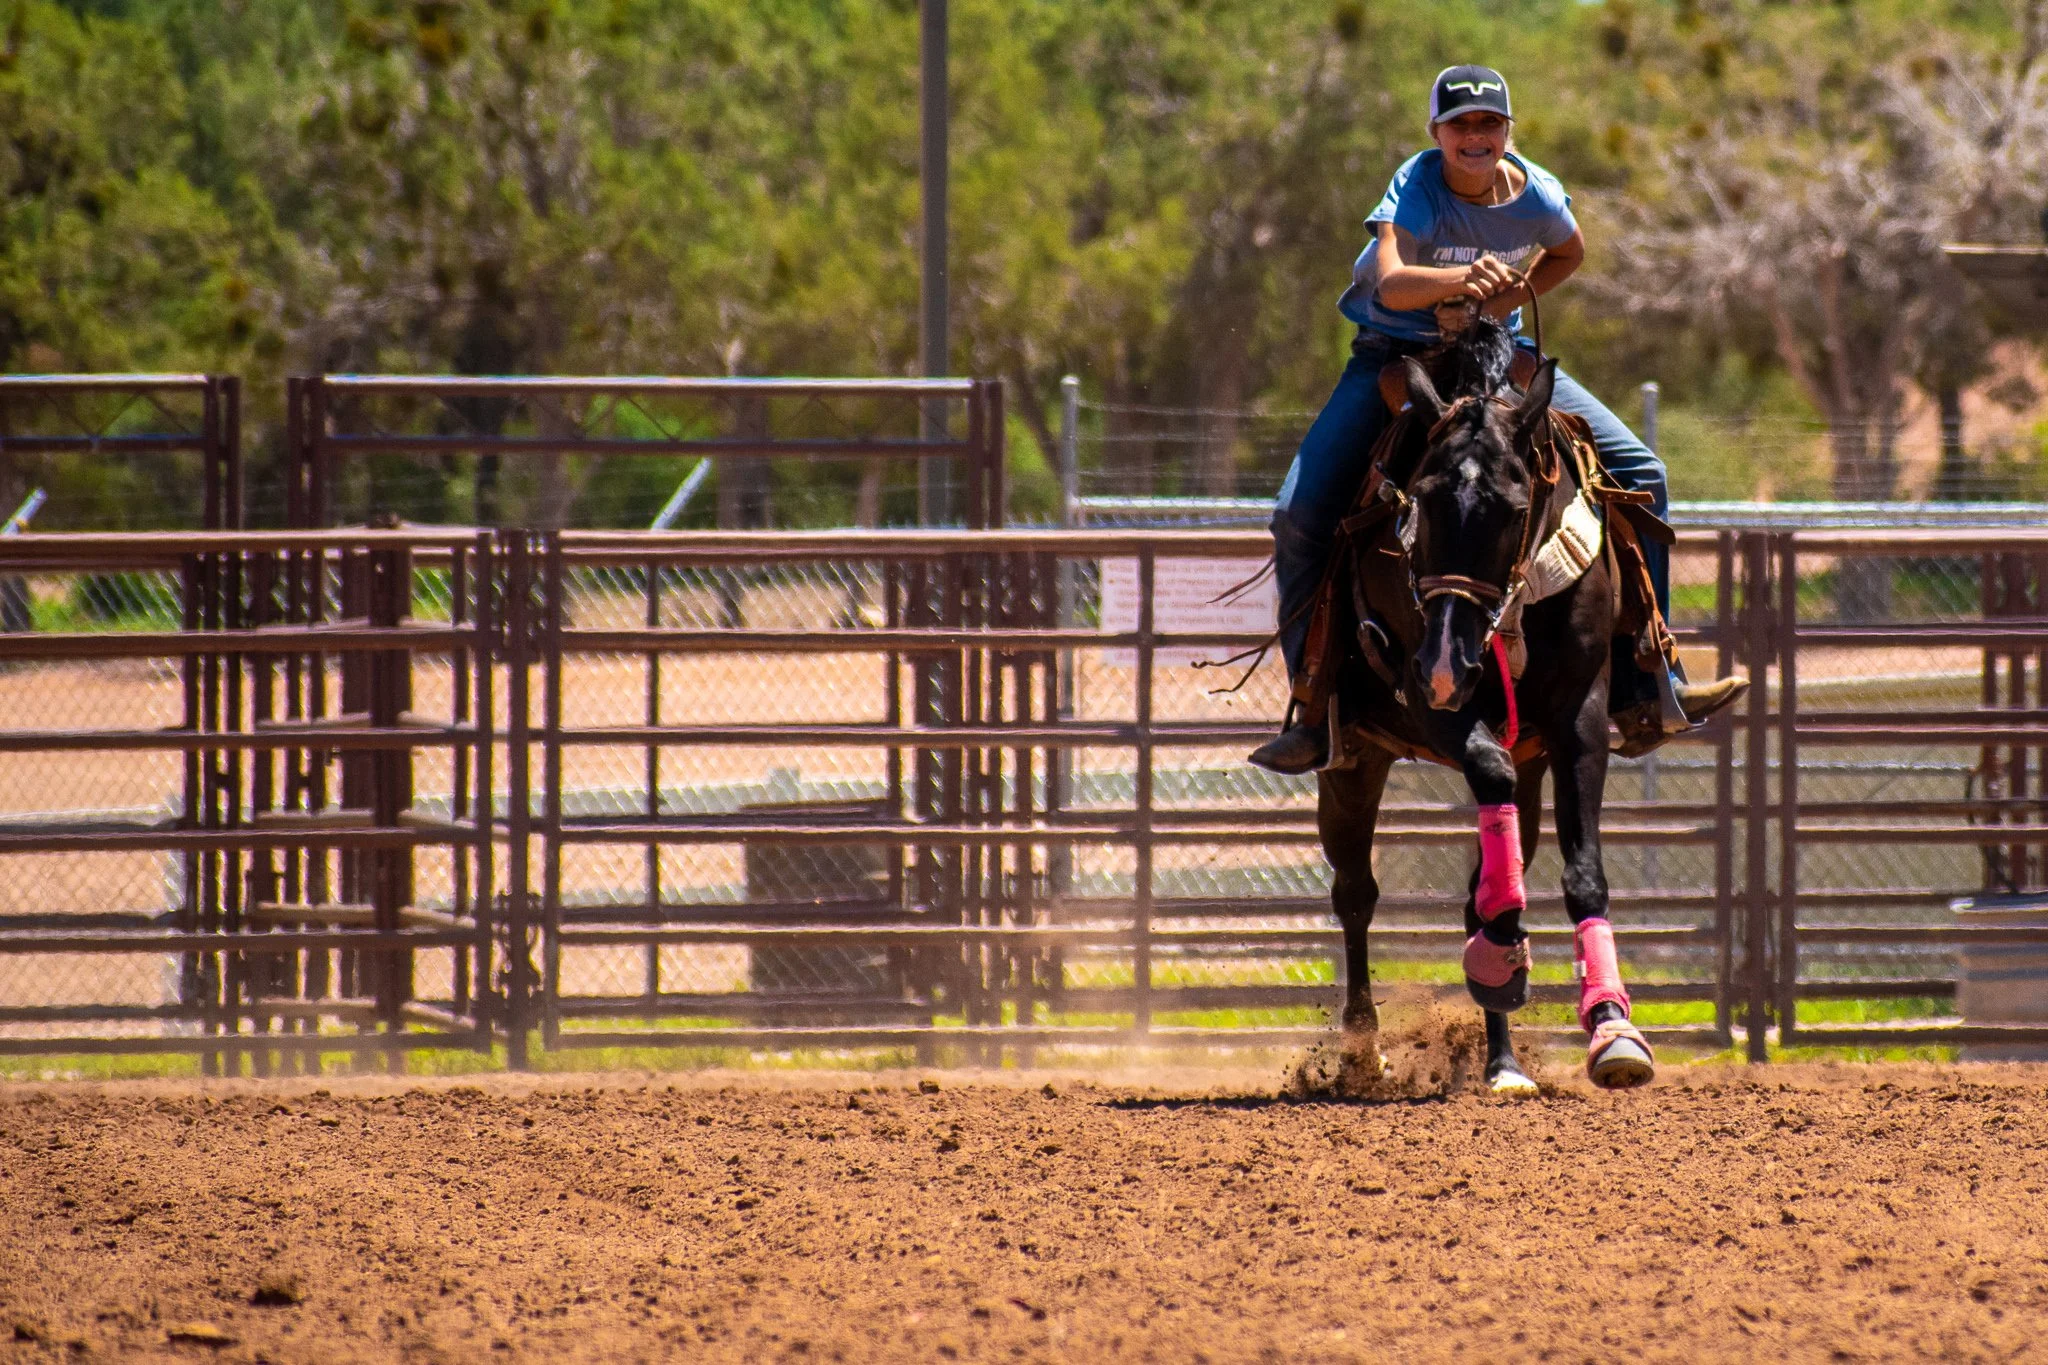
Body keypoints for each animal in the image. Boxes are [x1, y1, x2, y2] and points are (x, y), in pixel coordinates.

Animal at [1315, 313, 1657, 1092]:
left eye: (1511, 507)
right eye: (1419, 499)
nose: (1449, 662)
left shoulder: (1579, 715)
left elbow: (1581, 873)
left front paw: (1612, 1028)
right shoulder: (1426, 698)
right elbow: (1485, 792)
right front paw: (1501, 954)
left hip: (1526, 759)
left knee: (1488, 864)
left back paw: (1502, 1060)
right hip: (1352, 761)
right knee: (1355, 892)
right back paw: (1362, 1050)